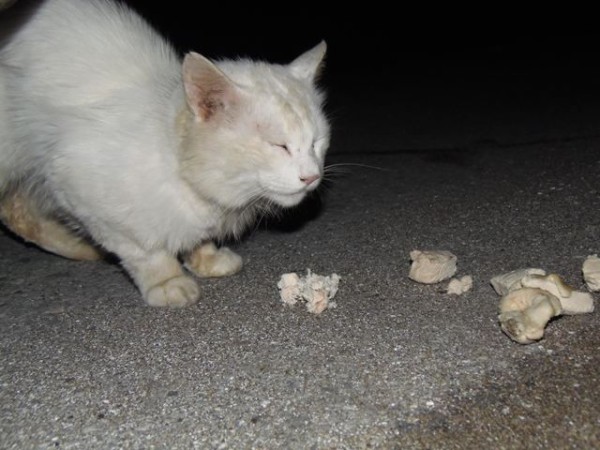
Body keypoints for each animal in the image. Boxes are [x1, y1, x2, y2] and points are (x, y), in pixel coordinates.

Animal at [0, 0, 328, 306]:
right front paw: (167, 281)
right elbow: (146, 252)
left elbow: (197, 237)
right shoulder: (76, 188)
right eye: (279, 145)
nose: (312, 176)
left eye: (317, 142)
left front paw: (206, 258)